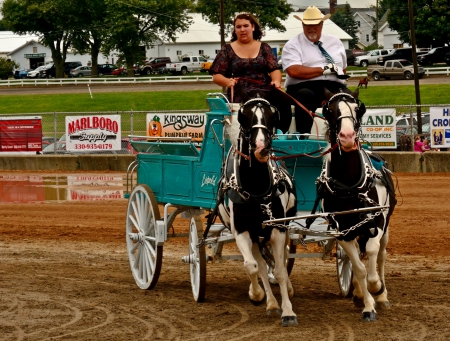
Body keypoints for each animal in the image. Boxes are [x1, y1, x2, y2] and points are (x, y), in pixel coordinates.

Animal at [218, 85, 298, 324]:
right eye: (244, 116)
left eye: (272, 115)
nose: (261, 147)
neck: (255, 189)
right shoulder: (242, 231)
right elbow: (252, 266)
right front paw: (257, 294)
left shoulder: (278, 229)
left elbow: (279, 270)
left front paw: (288, 311)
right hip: (254, 235)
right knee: (260, 264)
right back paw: (270, 302)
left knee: (281, 260)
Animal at [316, 88, 398, 322]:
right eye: (330, 110)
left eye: (356, 108)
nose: (347, 137)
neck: (349, 185)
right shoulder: (341, 232)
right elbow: (358, 267)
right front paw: (367, 304)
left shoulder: (376, 222)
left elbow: (371, 253)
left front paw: (377, 288)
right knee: (356, 260)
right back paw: (360, 294)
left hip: (384, 226)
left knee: (381, 255)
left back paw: (382, 294)